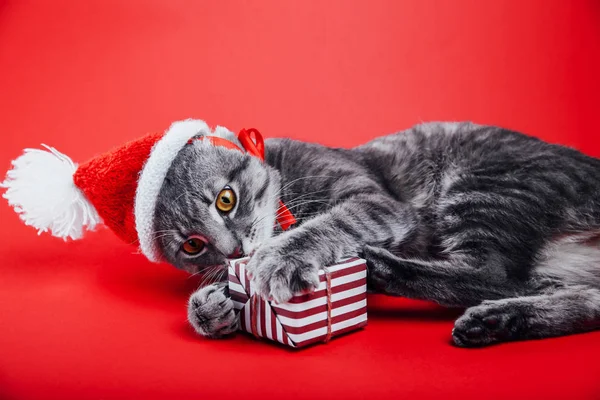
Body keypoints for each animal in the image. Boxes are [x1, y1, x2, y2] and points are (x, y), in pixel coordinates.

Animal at [154, 122, 600, 346]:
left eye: (225, 200)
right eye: (192, 246)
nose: (232, 250)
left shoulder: (375, 201)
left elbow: (330, 223)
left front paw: (280, 256)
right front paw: (212, 304)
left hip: (486, 186)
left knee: (494, 274)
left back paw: (379, 268)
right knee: (575, 299)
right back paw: (499, 321)